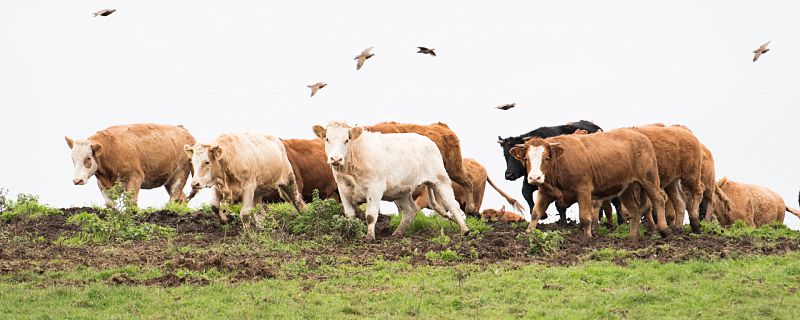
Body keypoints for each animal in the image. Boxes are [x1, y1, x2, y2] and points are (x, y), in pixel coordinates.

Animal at [65, 122, 195, 208]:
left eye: (88, 158)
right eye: (72, 159)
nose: (77, 180)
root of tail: (183, 130)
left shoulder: (135, 177)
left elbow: (131, 203)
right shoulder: (102, 184)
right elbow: (110, 205)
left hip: (180, 173)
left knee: (174, 196)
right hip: (169, 179)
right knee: (182, 198)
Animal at [312, 121, 468, 241]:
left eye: (346, 140)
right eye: (327, 139)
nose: (336, 159)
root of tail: (427, 140)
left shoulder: (374, 189)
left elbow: (370, 216)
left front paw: (370, 238)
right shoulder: (343, 189)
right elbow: (349, 215)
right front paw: (350, 232)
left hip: (440, 179)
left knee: (452, 205)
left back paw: (465, 230)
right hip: (401, 191)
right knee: (410, 211)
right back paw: (397, 233)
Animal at [512, 127, 668, 240]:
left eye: (546, 158)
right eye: (526, 159)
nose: (534, 177)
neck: (561, 162)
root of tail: (642, 136)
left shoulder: (584, 191)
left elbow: (585, 218)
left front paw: (587, 238)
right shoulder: (545, 192)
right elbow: (535, 213)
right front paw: (528, 234)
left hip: (648, 178)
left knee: (658, 199)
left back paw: (663, 229)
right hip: (627, 188)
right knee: (634, 211)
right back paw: (632, 238)